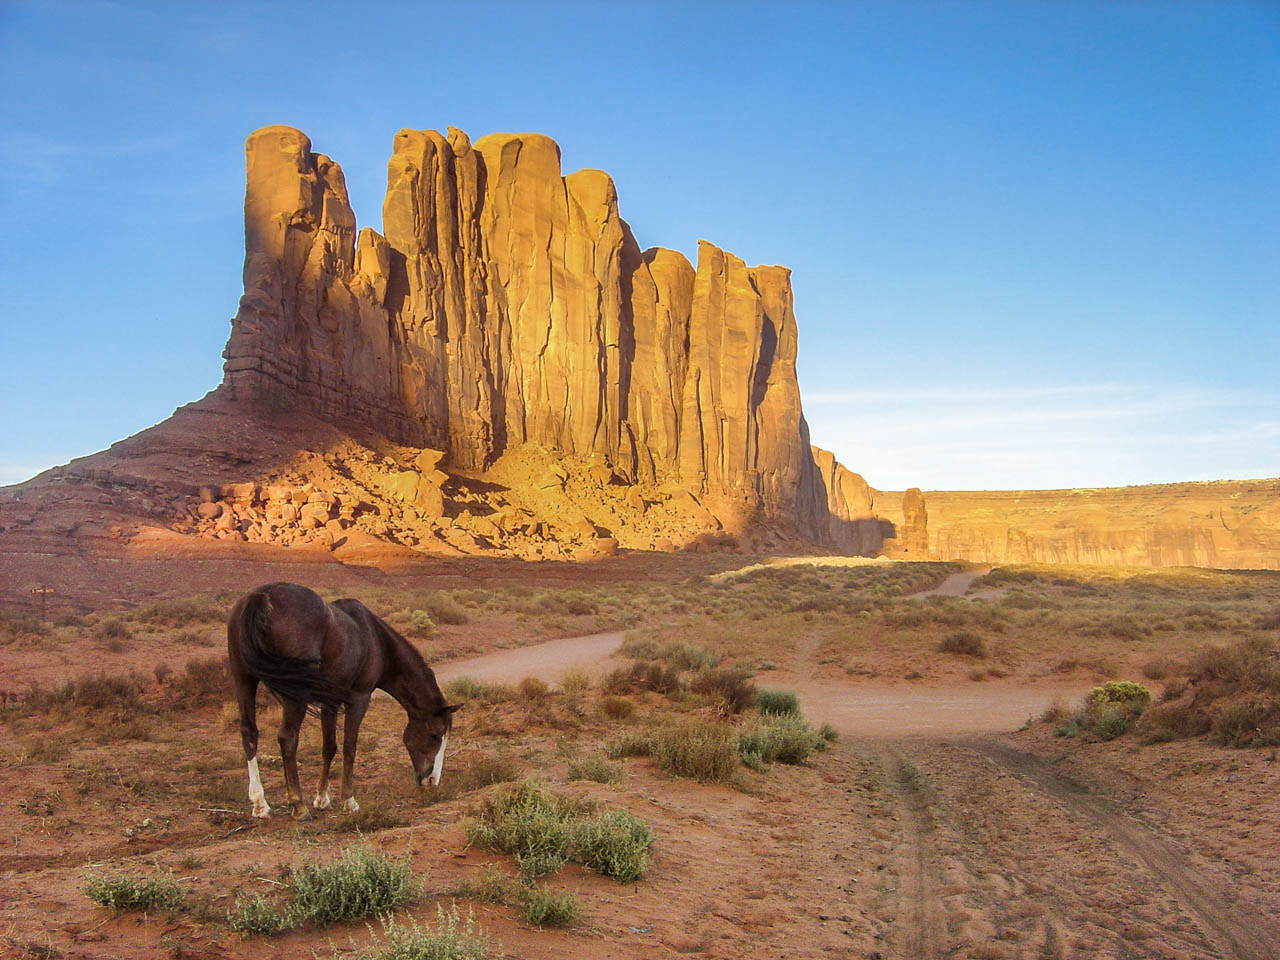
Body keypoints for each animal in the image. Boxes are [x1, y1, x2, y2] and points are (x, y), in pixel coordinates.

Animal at [227, 583, 458, 824]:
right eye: (434, 735)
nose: (432, 781)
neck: (377, 641)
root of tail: (260, 596)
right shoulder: (359, 699)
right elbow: (349, 746)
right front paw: (349, 800)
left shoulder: (330, 703)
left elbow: (329, 747)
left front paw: (322, 798)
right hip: (294, 694)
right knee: (287, 738)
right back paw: (298, 805)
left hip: (244, 679)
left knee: (249, 733)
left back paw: (260, 803)